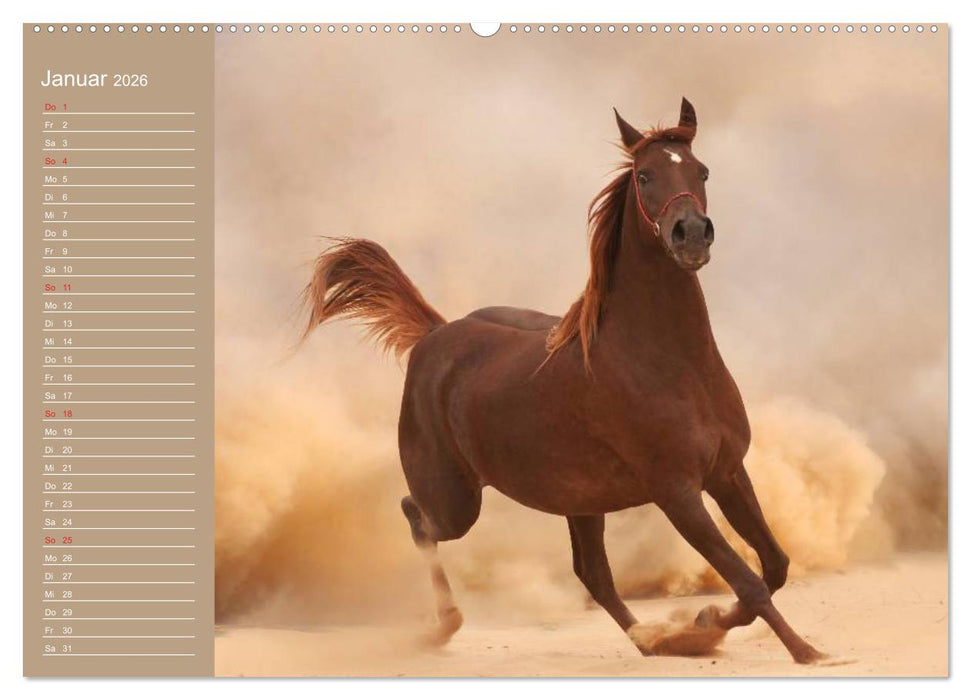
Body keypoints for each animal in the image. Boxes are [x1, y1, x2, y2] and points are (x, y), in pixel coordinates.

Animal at [300, 98, 826, 664]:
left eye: (701, 170)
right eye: (645, 175)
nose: (690, 234)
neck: (671, 363)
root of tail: (436, 334)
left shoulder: (727, 472)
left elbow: (774, 566)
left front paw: (701, 625)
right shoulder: (678, 492)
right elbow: (747, 578)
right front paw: (804, 650)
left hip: (580, 502)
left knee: (592, 574)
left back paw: (650, 639)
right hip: (456, 502)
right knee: (416, 517)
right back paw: (443, 628)